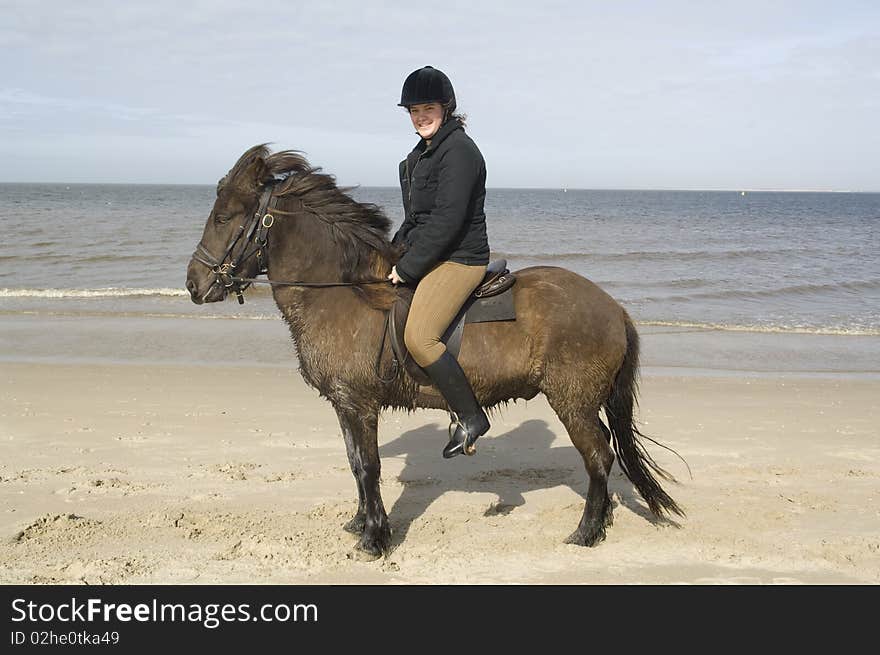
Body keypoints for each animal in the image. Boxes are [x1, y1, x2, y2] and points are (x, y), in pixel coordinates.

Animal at [184, 145, 680, 560]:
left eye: (225, 217)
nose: (193, 284)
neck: (344, 293)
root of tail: (613, 306)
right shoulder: (344, 406)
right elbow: (354, 465)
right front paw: (360, 523)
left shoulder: (360, 405)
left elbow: (369, 467)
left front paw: (375, 539)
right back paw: (602, 522)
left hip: (572, 402)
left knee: (598, 457)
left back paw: (586, 532)